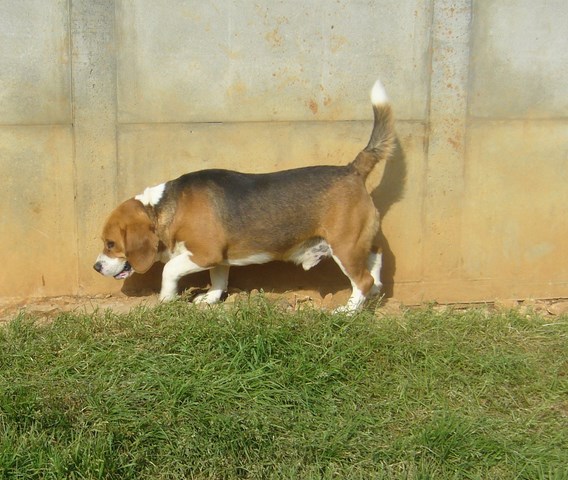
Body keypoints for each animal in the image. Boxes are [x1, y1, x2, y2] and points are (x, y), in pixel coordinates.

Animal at [94, 80, 394, 314]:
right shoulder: (219, 258)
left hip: (344, 245)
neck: (165, 208)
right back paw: (372, 295)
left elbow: (169, 270)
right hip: (357, 242)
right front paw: (210, 299)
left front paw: (166, 299)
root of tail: (352, 168)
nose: (96, 267)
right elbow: (219, 279)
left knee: (362, 280)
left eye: (110, 244)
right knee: (375, 259)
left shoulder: (204, 253)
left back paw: (348, 311)